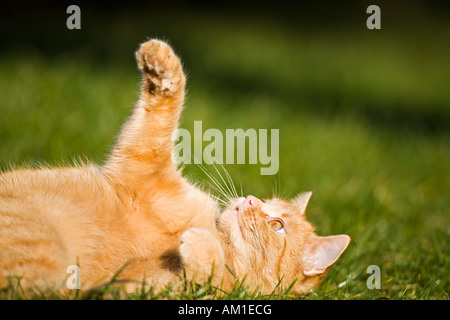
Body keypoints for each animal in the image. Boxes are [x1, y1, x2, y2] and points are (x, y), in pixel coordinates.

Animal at [0, 39, 352, 296]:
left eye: (277, 225)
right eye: (265, 202)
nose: (250, 199)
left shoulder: (146, 290)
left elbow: (209, 277)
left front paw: (202, 250)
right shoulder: (144, 167)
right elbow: (162, 116)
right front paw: (162, 66)